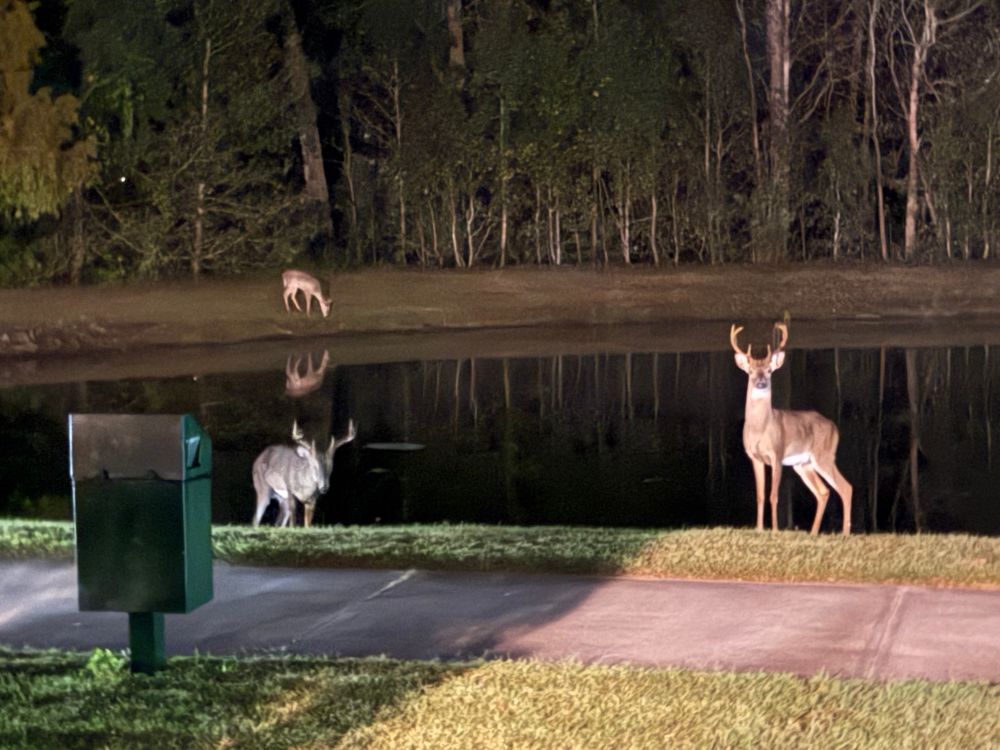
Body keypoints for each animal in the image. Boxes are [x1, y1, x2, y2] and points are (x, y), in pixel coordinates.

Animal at [730, 322, 852, 536]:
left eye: (769, 370)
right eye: (751, 371)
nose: (761, 382)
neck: (760, 428)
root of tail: (834, 427)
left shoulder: (777, 454)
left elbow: (773, 495)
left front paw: (775, 530)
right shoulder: (754, 457)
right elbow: (760, 495)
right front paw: (759, 529)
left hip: (824, 455)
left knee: (846, 487)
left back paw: (845, 534)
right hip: (804, 464)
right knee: (823, 491)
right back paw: (813, 533)